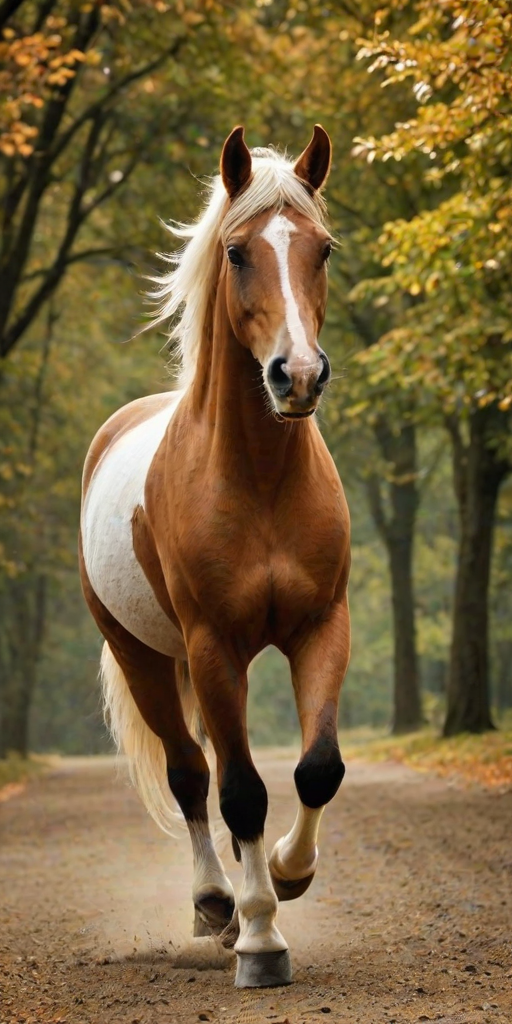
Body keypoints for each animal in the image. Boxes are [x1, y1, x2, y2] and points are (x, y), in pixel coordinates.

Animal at [79, 125, 351, 989]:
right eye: (236, 252)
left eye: (322, 249)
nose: (297, 376)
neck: (258, 477)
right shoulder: (212, 649)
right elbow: (237, 792)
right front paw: (262, 937)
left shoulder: (322, 628)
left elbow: (316, 768)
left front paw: (291, 875)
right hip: (144, 656)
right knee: (193, 776)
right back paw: (216, 904)